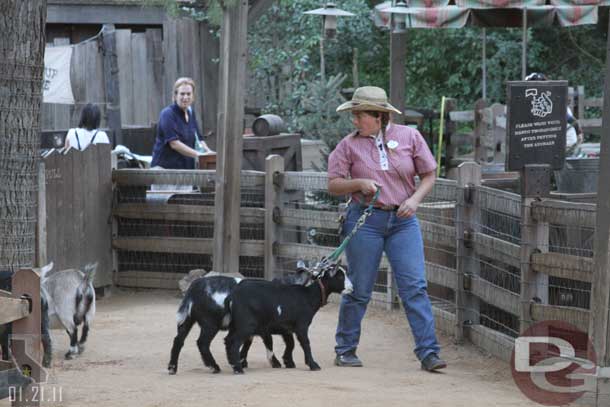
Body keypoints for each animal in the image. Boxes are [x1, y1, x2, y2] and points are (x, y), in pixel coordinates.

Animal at [169, 264, 308, 376]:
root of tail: (195, 287)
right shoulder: (268, 328)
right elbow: (280, 343)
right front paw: (280, 362)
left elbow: (249, 343)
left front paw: (242, 361)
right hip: (210, 324)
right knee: (202, 343)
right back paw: (214, 367)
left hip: (188, 320)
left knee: (178, 340)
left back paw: (172, 368)